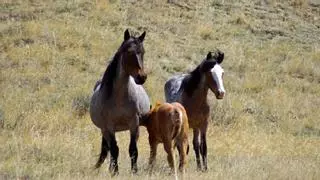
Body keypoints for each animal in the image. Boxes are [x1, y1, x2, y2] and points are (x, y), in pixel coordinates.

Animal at [89, 29, 151, 176]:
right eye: (128, 52)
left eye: (143, 51)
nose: (141, 77)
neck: (119, 99)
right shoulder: (110, 126)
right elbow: (114, 150)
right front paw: (115, 172)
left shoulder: (134, 123)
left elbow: (133, 149)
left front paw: (134, 171)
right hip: (104, 130)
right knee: (108, 149)